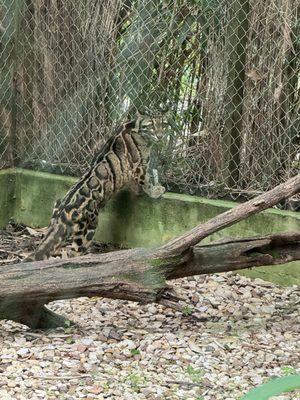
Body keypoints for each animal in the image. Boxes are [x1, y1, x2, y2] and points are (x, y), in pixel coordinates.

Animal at [24, 113, 165, 262]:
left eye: (163, 124)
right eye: (151, 125)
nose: (161, 136)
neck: (134, 127)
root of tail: (62, 213)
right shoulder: (140, 166)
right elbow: (146, 181)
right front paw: (156, 191)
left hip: (55, 215)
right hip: (89, 228)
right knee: (73, 252)